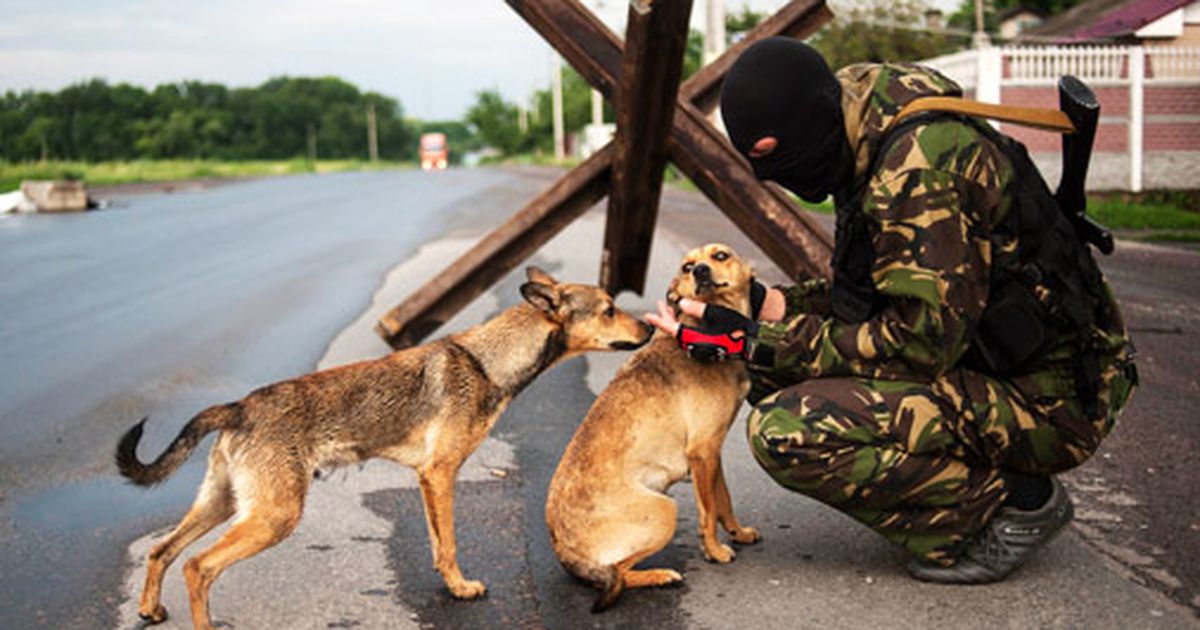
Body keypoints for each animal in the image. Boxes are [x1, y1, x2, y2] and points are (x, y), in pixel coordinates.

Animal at [115, 266, 652, 628]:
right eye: (609, 309)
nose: (650, 327)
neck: (486, 361)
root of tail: (238, 407)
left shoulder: (429, 480)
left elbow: (438, 544)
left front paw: (450, 585)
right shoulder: (440, 474)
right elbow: (450, 543)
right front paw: (462, 588)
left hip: (224, 503)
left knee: (162, 551)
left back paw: (150, 608)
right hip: (273, 516)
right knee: (197, 566)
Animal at [544, 242, 758, 609]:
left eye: (720, 256)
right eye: (687, 266)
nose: (700, 271)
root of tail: (564, 551)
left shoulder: (713, 453)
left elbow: (724, 501)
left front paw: (738, 533)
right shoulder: (703, 452)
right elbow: (708, 512)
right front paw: (714, 551)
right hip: (664, 510)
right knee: (616, 573)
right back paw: (660, 576)